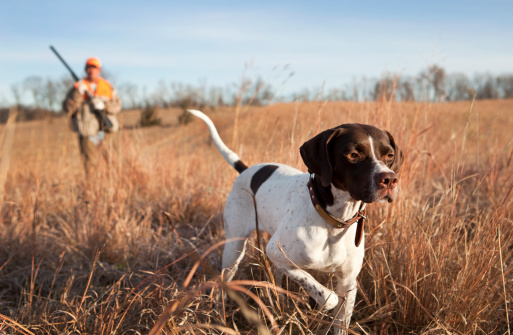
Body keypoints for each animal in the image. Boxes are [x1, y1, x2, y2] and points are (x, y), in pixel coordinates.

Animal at [186, 109, 402, 334]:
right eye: (353, 154)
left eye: (389, 156)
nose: (390, 179)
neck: (333, 219)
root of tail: (245, 170)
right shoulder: (276, 252)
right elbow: (327, 296)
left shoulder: (348, 282)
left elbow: (339, 317)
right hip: (234, 250)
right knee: (224, 283)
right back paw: (219, 315)